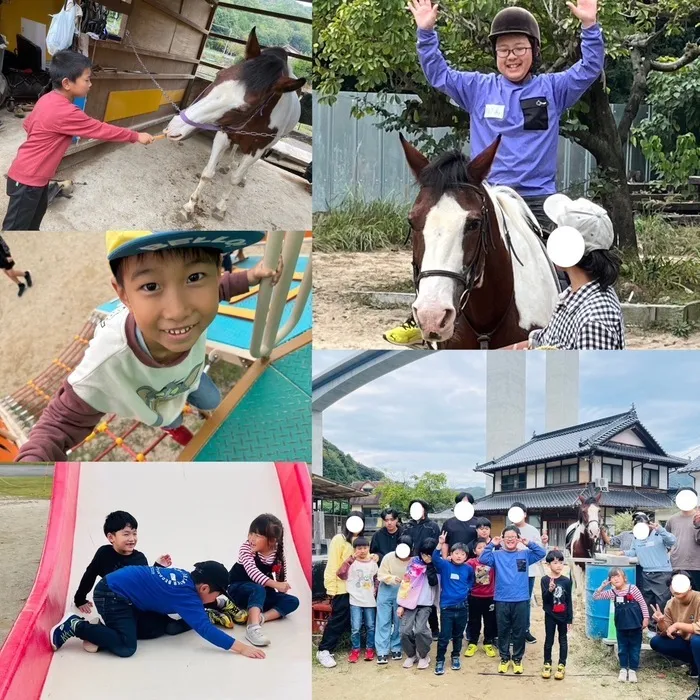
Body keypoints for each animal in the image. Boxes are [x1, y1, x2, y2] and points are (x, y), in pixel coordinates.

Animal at [167, 28, 306, 220]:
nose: (174, 128)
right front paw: (189, 206)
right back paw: (227, 165)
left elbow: (235, 179)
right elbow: (208, 173)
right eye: (219, 75)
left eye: (243, 108)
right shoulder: (224, 134)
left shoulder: (257, 149)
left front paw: (220, 207)